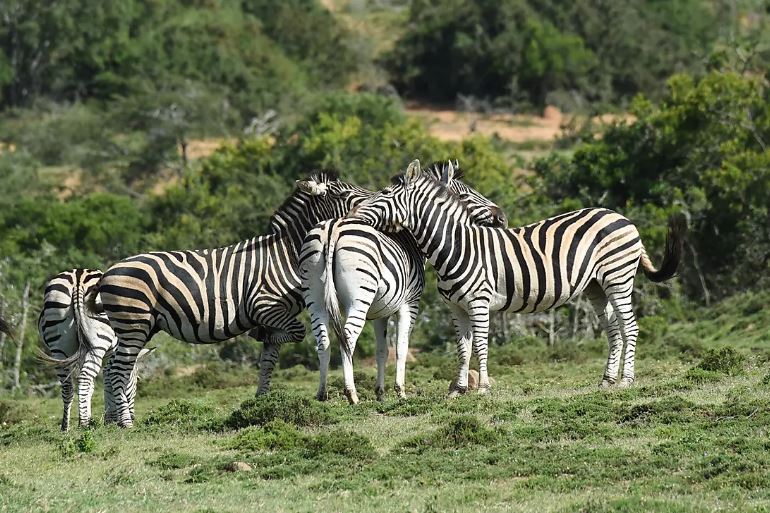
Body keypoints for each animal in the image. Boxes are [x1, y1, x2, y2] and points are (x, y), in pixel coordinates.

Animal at [36, 270, 154, 430]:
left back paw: (65, 427)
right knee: (85, 377)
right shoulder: (112, 352)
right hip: (98, 342)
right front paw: (112, 419)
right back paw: (84, 424)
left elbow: (93, 386)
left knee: (68, 386)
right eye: (136, 380)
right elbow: (109, 378)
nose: (134, 416)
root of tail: (77, 279)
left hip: (59, 347)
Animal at [87, 170, 372, 426]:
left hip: (140, 327)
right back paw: (125, 422)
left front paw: (261, 400)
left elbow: (269, 360)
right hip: (133, 323)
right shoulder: (265, 307)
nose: (376, 196)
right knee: (118, 370)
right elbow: (296, 333)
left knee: (113, 368)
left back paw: (112, 420)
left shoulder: (274, 316)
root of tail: (108, 272)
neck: (287, 254)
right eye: (344, 194)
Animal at [296, 160, 508, 404]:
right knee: (347, 337)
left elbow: (382, 351)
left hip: (315, 296)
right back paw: (352, 394)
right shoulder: (410, 303)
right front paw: (400, 391)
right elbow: (401, 347)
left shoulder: (379, 313)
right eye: (465, 195)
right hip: (359, 296)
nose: (502, 218)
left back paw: (322, 394)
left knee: (323, 340)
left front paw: (380, 393)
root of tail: (333, 228)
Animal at [348, 159, 684, 392]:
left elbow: (481, 344)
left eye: (384, 194)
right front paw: (458, 390)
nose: (352, 214)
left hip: (618, 278)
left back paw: (626, 380)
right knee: (614, 329)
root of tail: (622, 217)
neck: (457, 245)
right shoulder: (456, 308)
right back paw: (607, 380)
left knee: (631, 327)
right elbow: (463, 348)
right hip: (596, 287)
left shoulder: (479, 302)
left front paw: (483, 388)